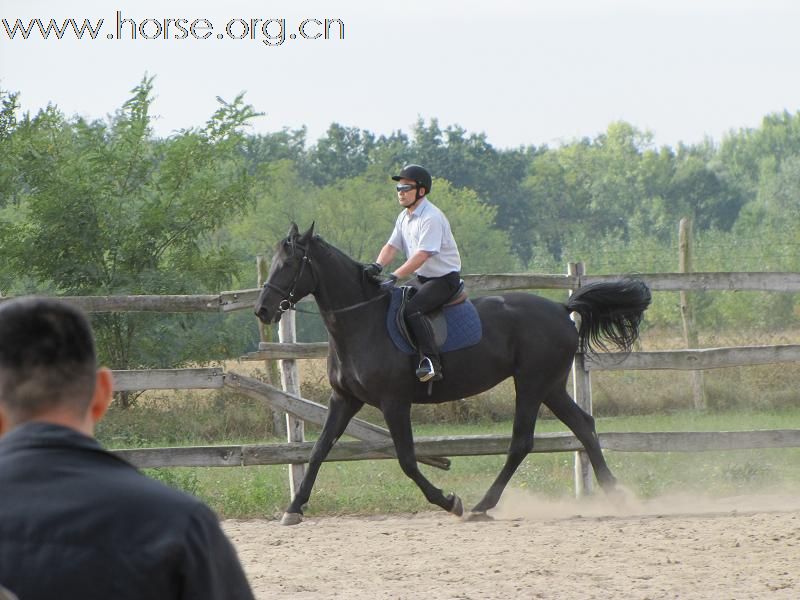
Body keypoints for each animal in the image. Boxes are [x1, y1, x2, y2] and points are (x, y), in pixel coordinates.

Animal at [256, 223, 648, 524]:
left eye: (289, 263)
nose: (263, 309)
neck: (361, 321)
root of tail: (561, 308)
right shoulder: (345, 399)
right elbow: (319, 450)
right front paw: (293, 509)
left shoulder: (394, 402)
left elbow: (407, 460)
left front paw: (449, 501)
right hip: (551, 386)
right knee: (583, 424)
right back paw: (616, 493)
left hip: (532, 383)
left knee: (522, 442)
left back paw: (481, 506)